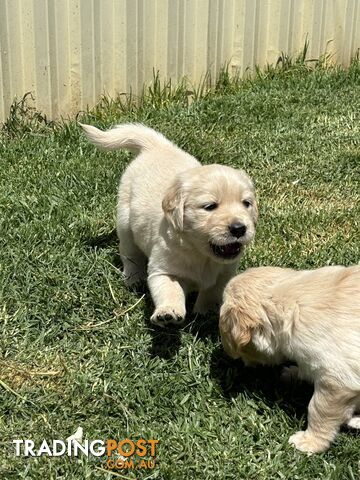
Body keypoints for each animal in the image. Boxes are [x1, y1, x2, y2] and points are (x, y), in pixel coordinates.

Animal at [80, 124, 258, 326]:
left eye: (246, 203)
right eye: (210, 206)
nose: (239, 228)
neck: (200, 254)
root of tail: (157, 145)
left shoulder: (224, 274)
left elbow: (212, 292)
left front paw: (206, 312)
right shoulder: (164, 269)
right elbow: (170, 290)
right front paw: (167, 312)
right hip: (125, 221)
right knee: (129, 253)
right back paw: (133, 277)